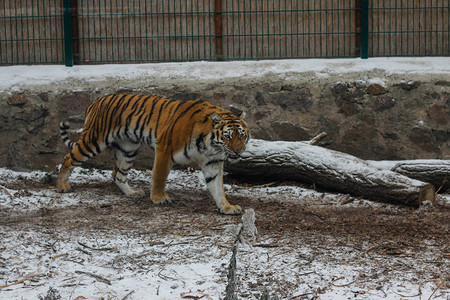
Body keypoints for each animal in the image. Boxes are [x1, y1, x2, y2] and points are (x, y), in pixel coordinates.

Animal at [57, 93, 250, 213]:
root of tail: (96, 100)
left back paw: (132, 193)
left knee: (118, 175)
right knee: (68, 158)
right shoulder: (165, 148)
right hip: (94, 141)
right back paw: (62, 185)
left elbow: (217, 187)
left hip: (127, 149)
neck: (209, 145)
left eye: (241, 135)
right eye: (228, 136)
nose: (237, 150)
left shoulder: (212, 162)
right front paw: (159, 198)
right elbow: (159, 176)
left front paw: (227, 207)